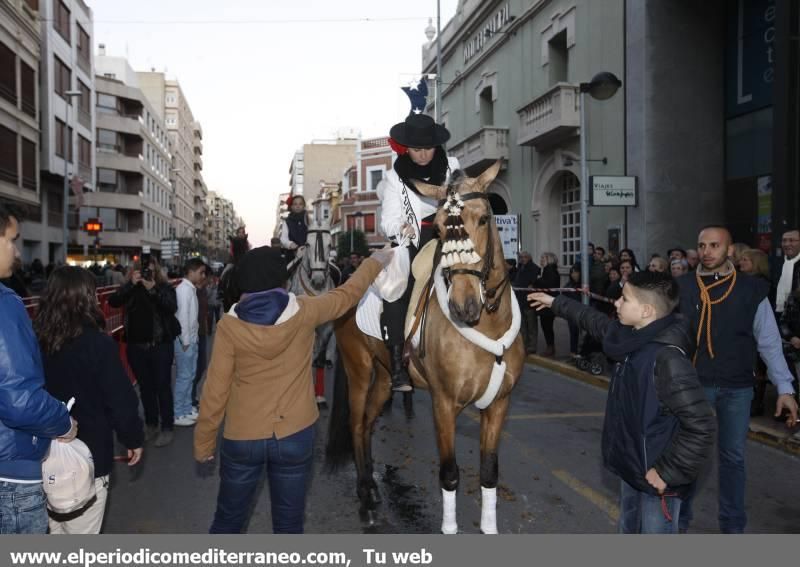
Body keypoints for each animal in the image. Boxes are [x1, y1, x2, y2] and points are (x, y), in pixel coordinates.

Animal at [324, 162, 524, 536]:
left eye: (484, 219)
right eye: (442, 228)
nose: (464, 305)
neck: (487, 325)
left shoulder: (499, 404)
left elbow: (489, 471)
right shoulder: (443, 403)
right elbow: (449, 473)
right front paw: (449, 527)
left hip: (384, 377)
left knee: (369, 423)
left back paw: (372, 489)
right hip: (359, 370)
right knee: (357, 425)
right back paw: (365, 498)